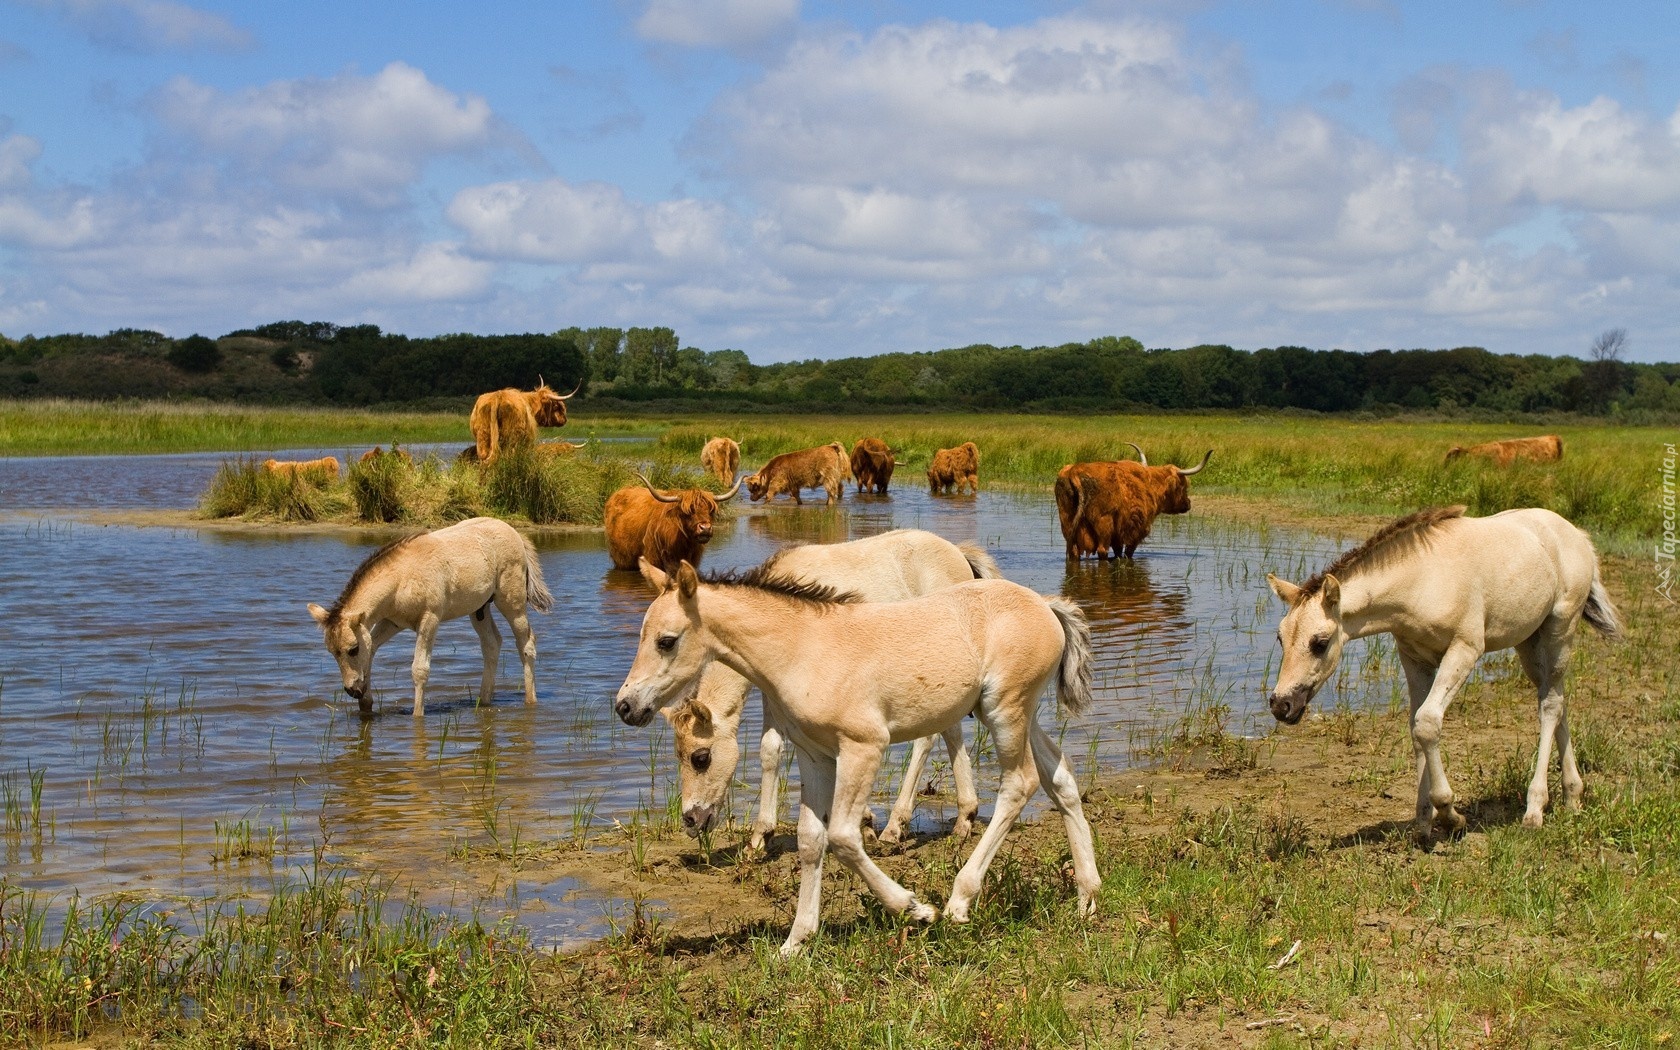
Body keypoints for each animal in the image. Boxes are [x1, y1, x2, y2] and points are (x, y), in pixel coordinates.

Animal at [1048, 440, 1209, 557]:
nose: (1188, 504)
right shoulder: (1138, 529)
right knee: (1102, 550)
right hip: (1103, 522)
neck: (1151, 485)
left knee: (1074, 551)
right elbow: (1128, 552)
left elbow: (1119, 552)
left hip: (1067, 521)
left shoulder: (1118, 534)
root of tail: (1075, 471)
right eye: (1184, 486)